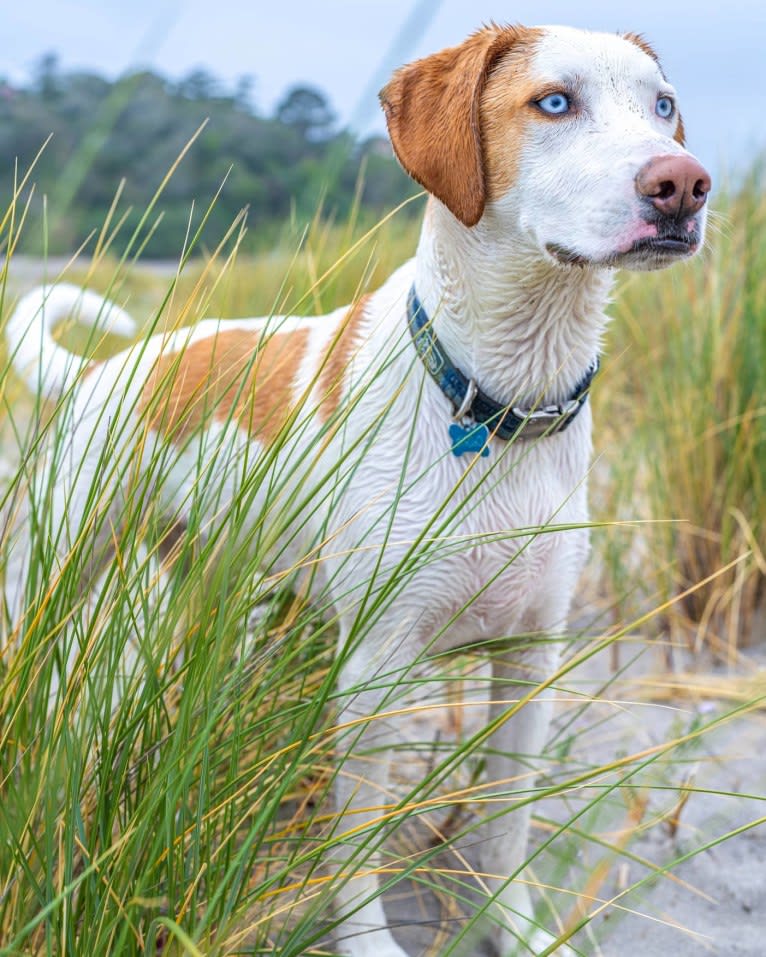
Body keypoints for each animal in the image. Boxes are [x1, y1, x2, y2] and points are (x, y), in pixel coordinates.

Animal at [4, 20, 712, 956]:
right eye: (554, 101)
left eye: (662, 106)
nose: (686, 185)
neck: (501, 403)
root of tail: (108, 369)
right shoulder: (375, 666)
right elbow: (355, 840)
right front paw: (367, 939)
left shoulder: (532, 656)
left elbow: (505, 825)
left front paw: (512, 923)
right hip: (55, 577)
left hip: (216, 589)